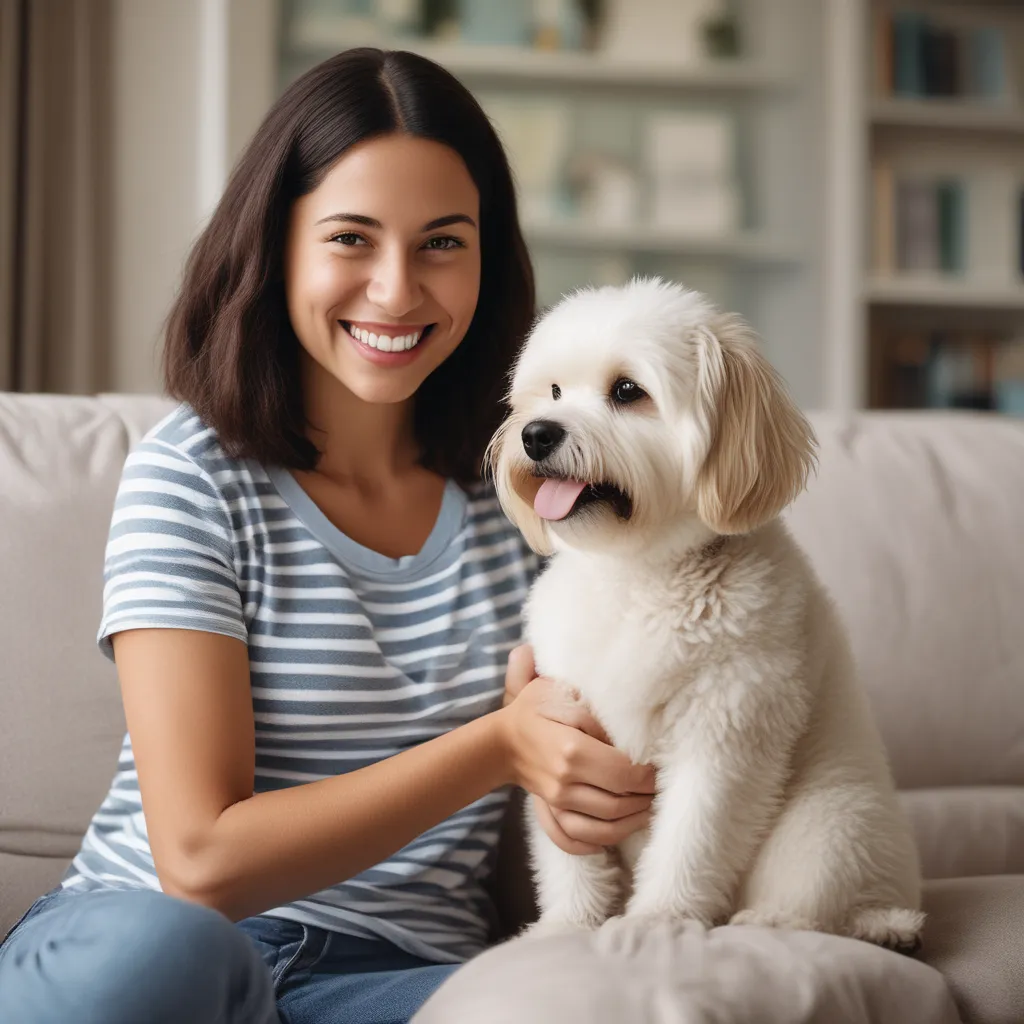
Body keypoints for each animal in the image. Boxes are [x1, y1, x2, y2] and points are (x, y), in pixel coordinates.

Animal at [487, 276, 929, 946]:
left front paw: (658, 920)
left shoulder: (724, 736)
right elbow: (571, 857)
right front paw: (568, 925)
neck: (639, 575)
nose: (536, 433)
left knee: (829, 904)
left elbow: (690, 843)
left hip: (832, 823)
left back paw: (808, 921)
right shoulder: (561, 725)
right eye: (555, 391)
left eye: (627, 391)